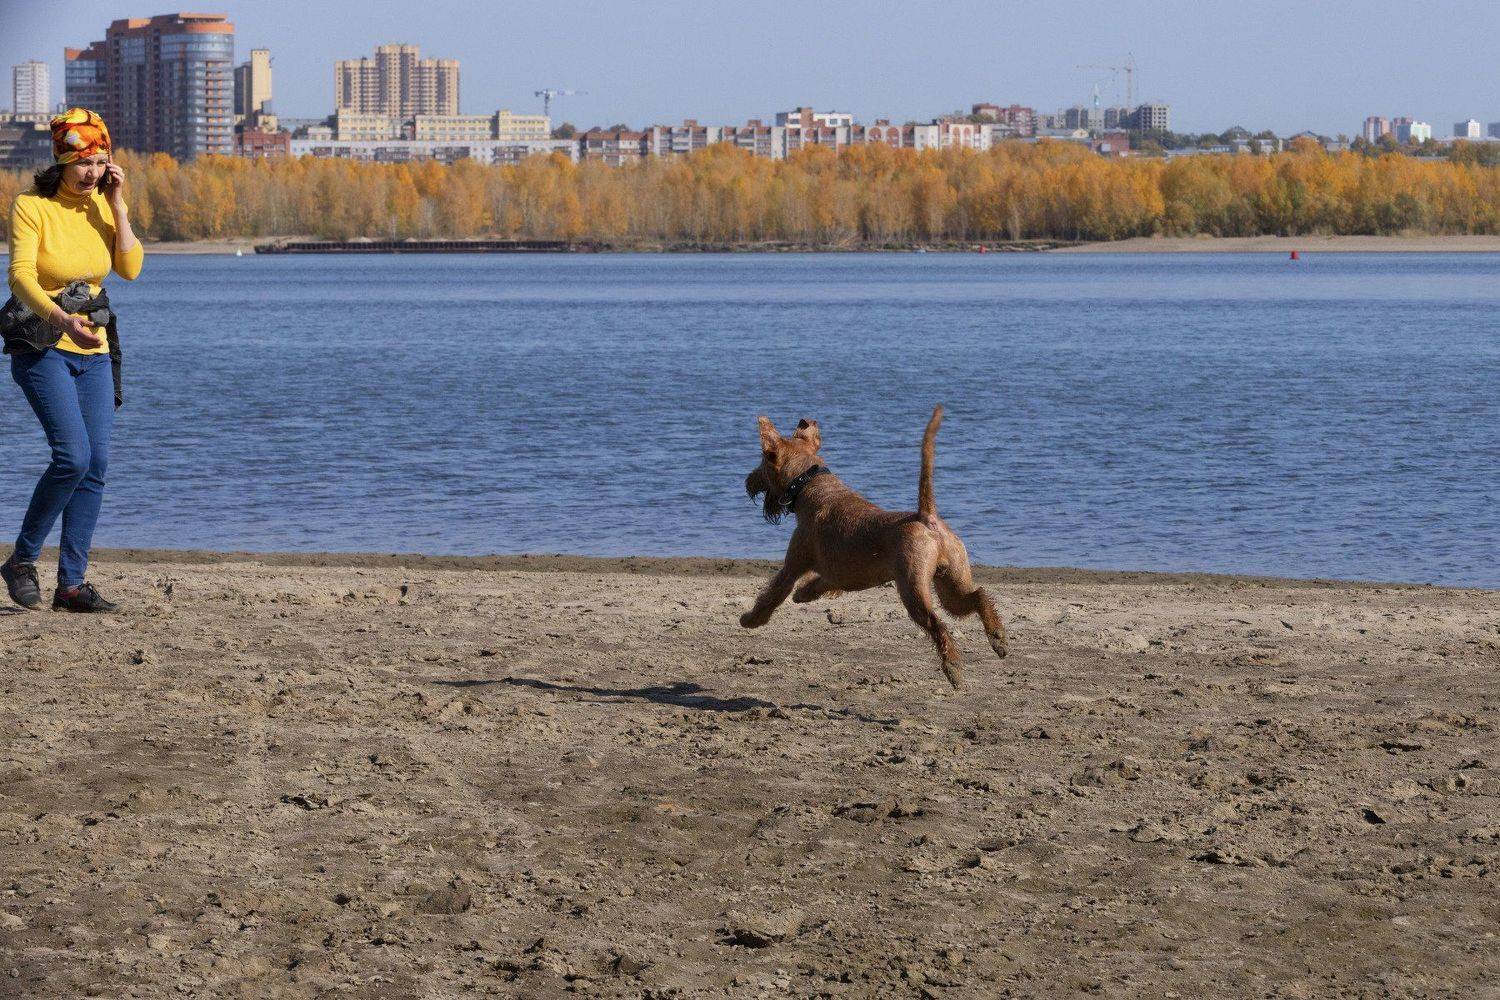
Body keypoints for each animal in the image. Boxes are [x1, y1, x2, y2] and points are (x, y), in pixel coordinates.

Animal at [741, 405, 1007, 689]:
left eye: (763, 461)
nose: (748, 481)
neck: (810, 486)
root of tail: (926, 517)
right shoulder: (837, 576)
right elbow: (816, 584)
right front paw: (803, 595)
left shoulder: (792, 567)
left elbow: (770, 597)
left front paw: (750, 619)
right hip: (951, 587)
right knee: (979, 596)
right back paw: (998, 637)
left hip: (913, 591)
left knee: (938, 625)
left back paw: (954, 667)